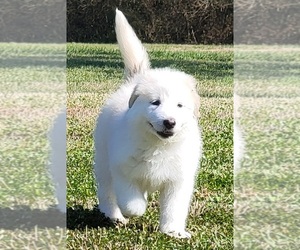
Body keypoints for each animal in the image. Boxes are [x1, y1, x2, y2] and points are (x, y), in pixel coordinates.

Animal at [94, 8, 202, 237]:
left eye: (179, 105)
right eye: (155, 102)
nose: (169, 122)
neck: (158, 145)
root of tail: (135, 79)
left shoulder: (178, 180)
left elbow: (173, 208)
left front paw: (173, 232)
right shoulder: (122, 169)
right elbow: (131, 201)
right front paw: (137, 208)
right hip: (103, 161)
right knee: (107, 192)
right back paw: (115, 217)